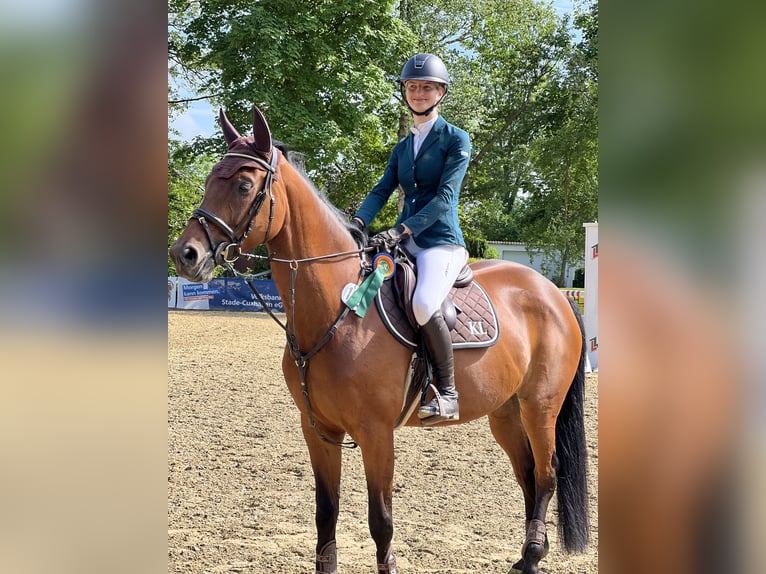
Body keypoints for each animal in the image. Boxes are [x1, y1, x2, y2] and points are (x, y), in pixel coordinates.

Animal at [171, 107, 592, 574]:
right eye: (210, 179)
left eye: (244, 185)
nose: (184, 255)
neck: (336, 313)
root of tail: (552, 291)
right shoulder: (318, 429)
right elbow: (326, 512)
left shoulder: (376, 433)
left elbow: (381, 521)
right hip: (505, 409)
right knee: (528, 473)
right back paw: (525, 555)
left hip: (540, 404)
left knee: (548, 472)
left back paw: (533, 556)